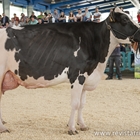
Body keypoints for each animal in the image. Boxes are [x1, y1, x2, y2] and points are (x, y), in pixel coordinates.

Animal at [0, 7, 140, 135]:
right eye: (125, 19)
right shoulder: (77, 75)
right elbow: (75, 103)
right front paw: (72, 128)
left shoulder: (86, 77)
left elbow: (82, 104)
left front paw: (82, 125)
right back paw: (3, 128)